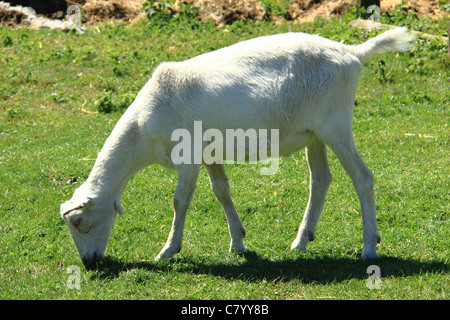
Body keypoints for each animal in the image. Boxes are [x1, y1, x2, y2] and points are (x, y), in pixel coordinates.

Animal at [59, 28, 414, 268]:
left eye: (78, 222)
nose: (89, 262)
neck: (144, 130)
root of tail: (353, 53)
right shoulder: (209, 153)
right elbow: (221, 191)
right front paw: (238, 242)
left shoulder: (188, 154)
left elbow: (180, 200)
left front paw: (168, 250)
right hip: (314, 134)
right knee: (321, 180)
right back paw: (301, 240)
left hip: (336, 125)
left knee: (362, 177)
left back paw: (369, 246)